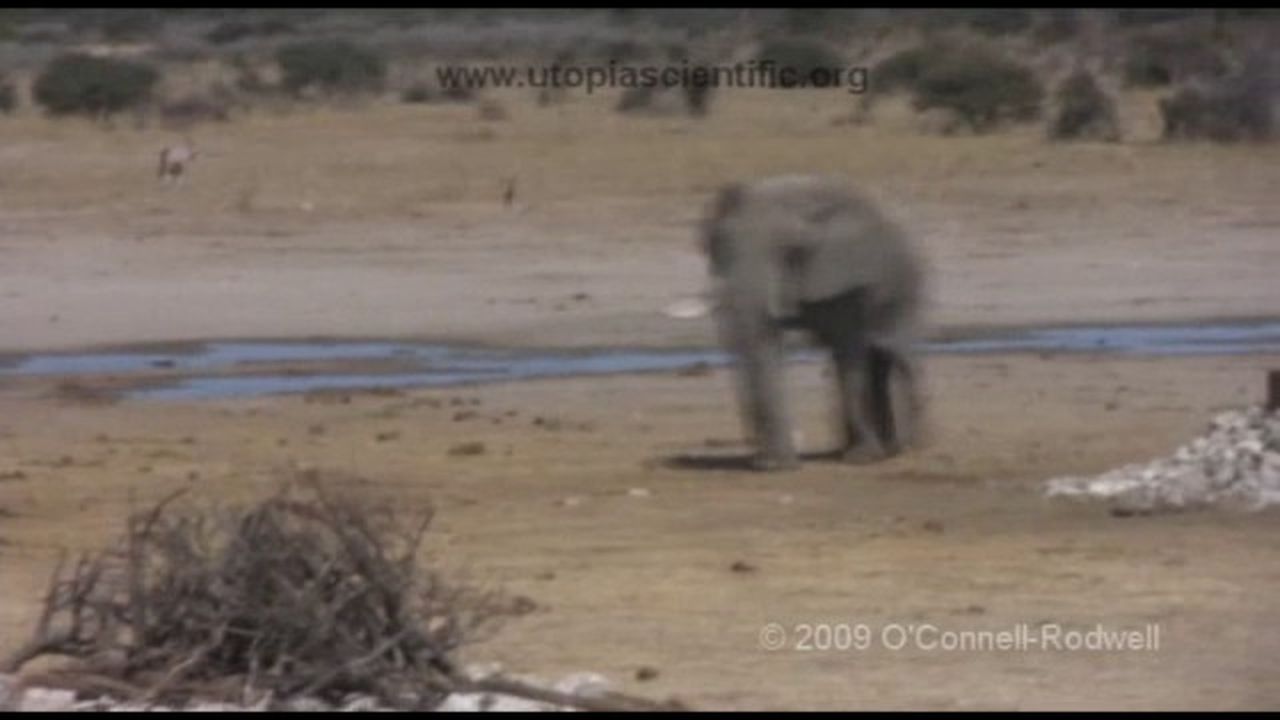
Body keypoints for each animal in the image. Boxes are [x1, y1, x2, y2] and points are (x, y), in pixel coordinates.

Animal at [698, 174, 926, 471]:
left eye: (791, 250)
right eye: (716, 247)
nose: (757, 457)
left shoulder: (843, 279)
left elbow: (848, 349)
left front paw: (862, 459)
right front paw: (774, 465)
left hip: (906, 286)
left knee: (890, 351)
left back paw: (906, 448)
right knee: (880, 358)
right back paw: (879, 448)